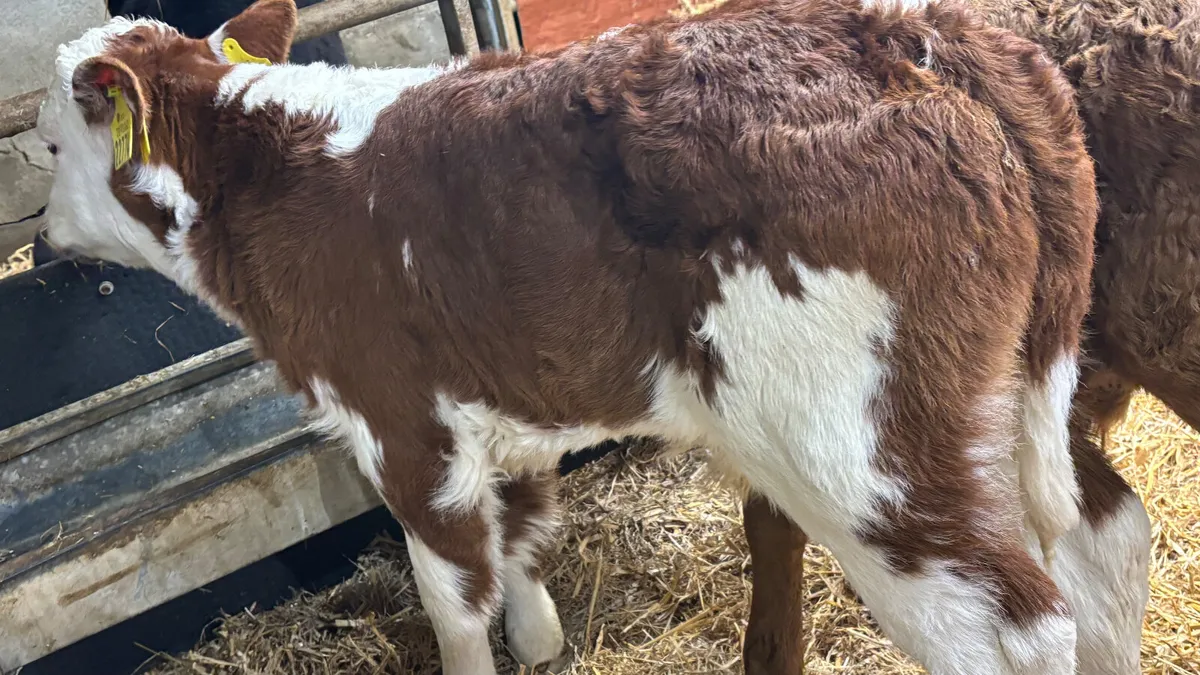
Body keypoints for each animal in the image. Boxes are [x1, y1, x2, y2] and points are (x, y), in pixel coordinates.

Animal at [34, 0, 1097, 673]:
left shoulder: (401, 425)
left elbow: (455, 601)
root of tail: (911, 35)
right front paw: (542, 640)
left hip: (859, 453)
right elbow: (524, 533)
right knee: (1085, 541)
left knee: (1011, 631)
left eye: (45, 143)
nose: (41, 245)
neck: (277, 174)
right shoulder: (502, 395)